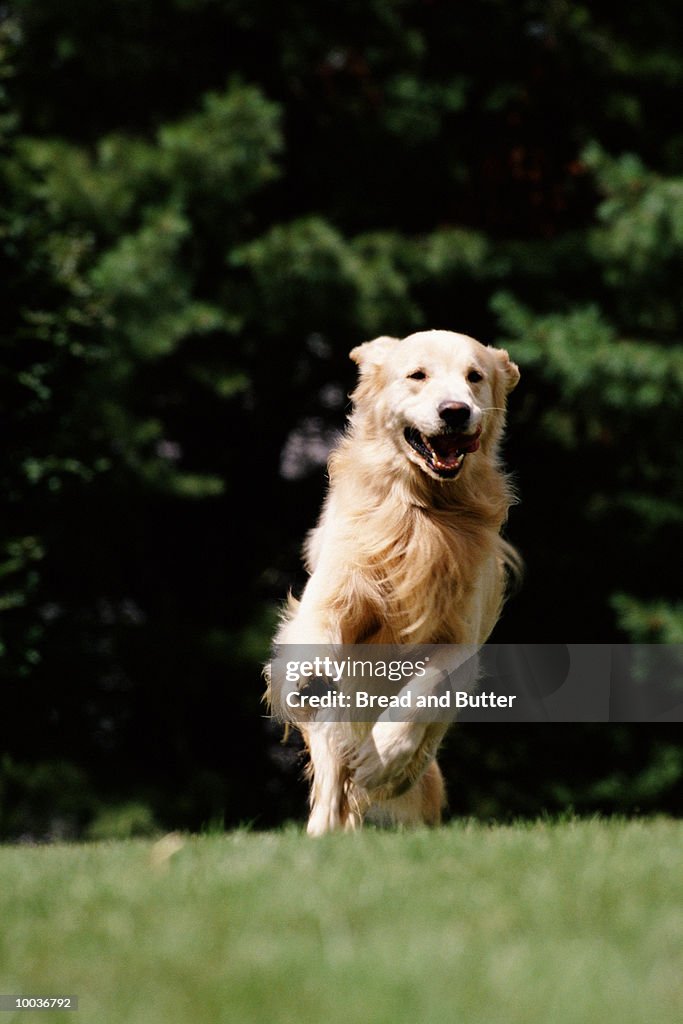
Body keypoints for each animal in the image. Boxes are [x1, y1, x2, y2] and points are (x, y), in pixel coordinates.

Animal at [266, 331, 518, 835]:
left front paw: (383, 757)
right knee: (332, 777)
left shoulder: (460, 640)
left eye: (474, 377)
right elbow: (318, 630)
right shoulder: (333, 592)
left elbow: (423, 690)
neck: (420, 511)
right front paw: (309, 676)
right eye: (417, 375)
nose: (455, 411)